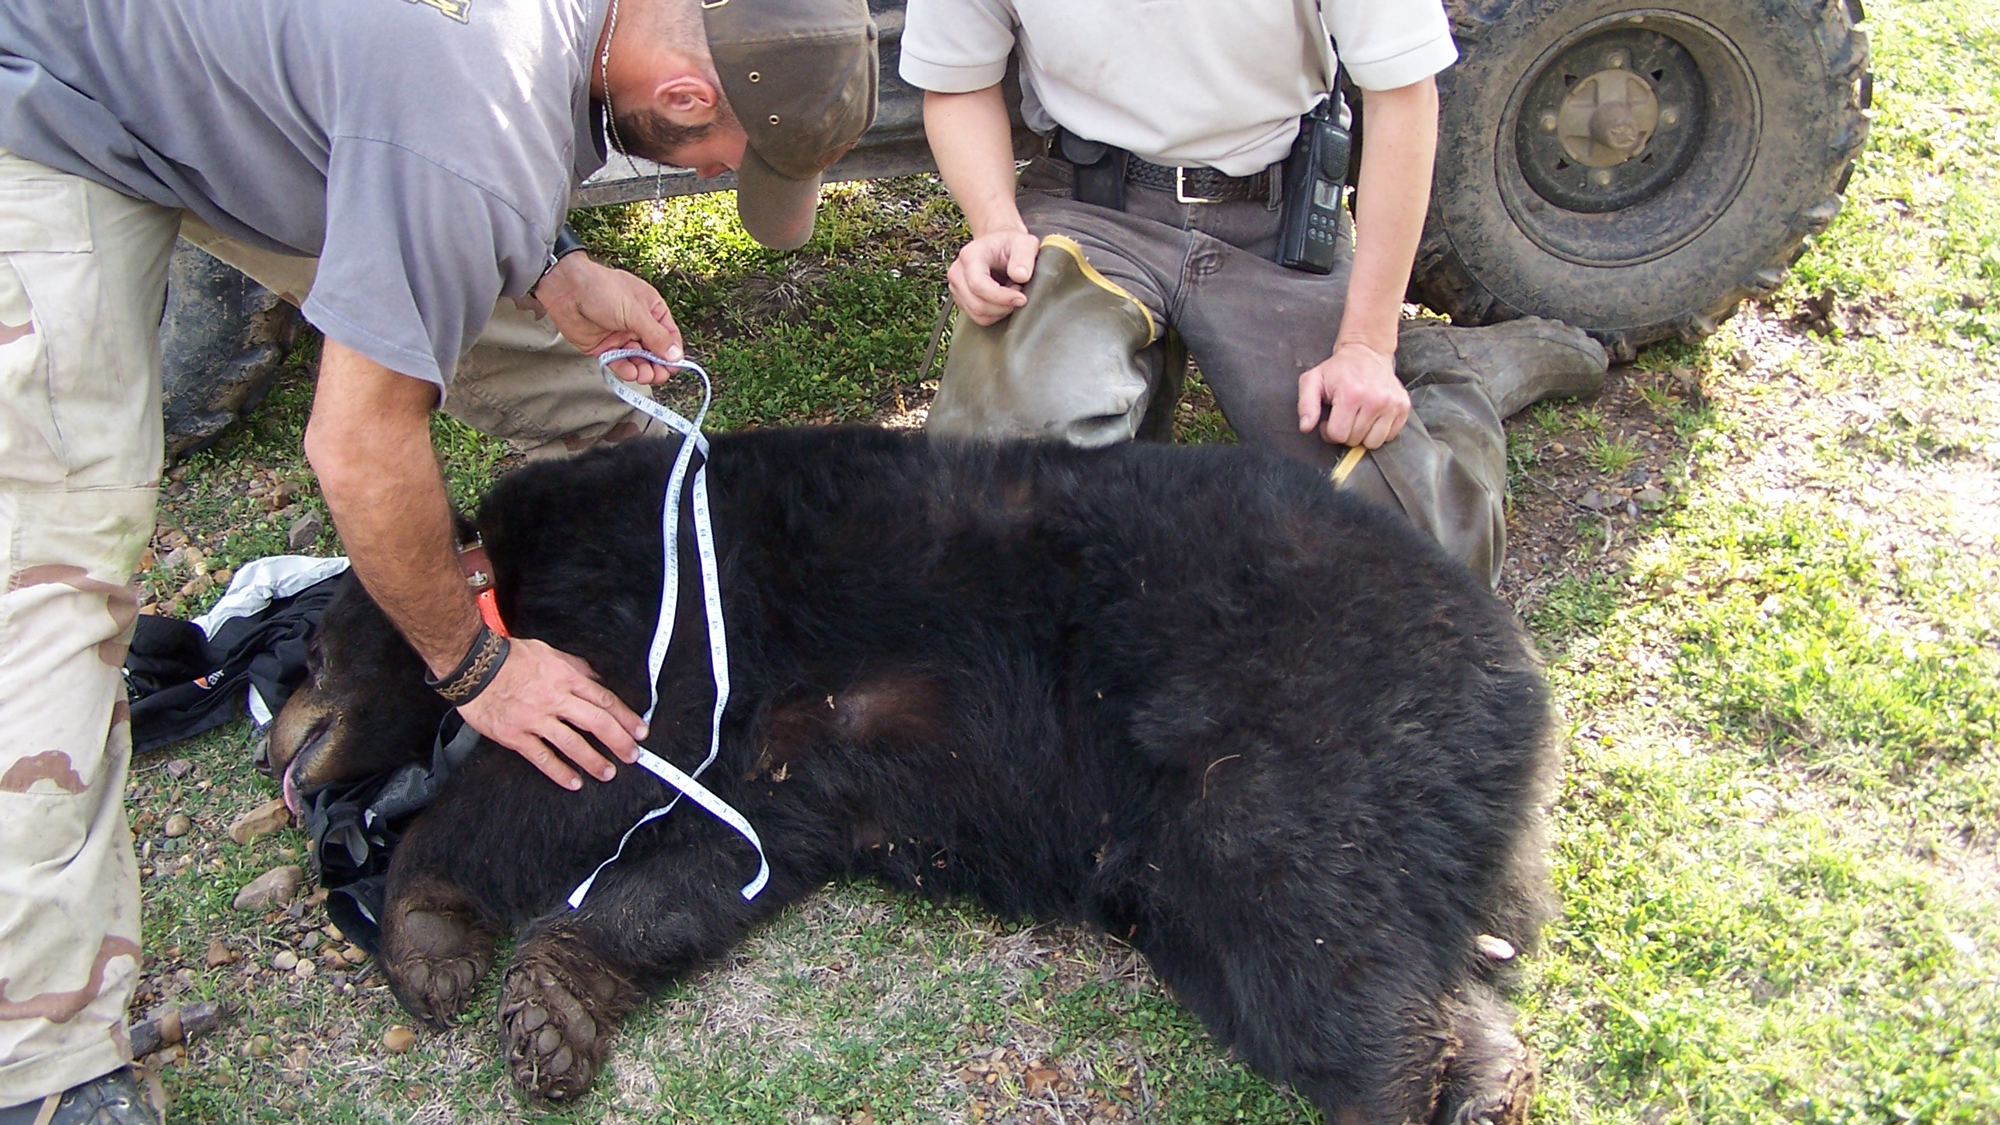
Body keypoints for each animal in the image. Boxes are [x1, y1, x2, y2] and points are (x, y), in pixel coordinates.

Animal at [262, 424, 1544, 1112]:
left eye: (309, 657)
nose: (279, 757)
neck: (507, 582)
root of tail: (1513, 673)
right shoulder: (790, 771)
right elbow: (709, 859)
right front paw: (555, 1007)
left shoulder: (652, 605)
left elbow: (585, 761)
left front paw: (427, 922)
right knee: (1354, 951)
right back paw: (1483, 1075)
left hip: (1286, 711)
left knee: (1294, 911)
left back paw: (1396, 1080)